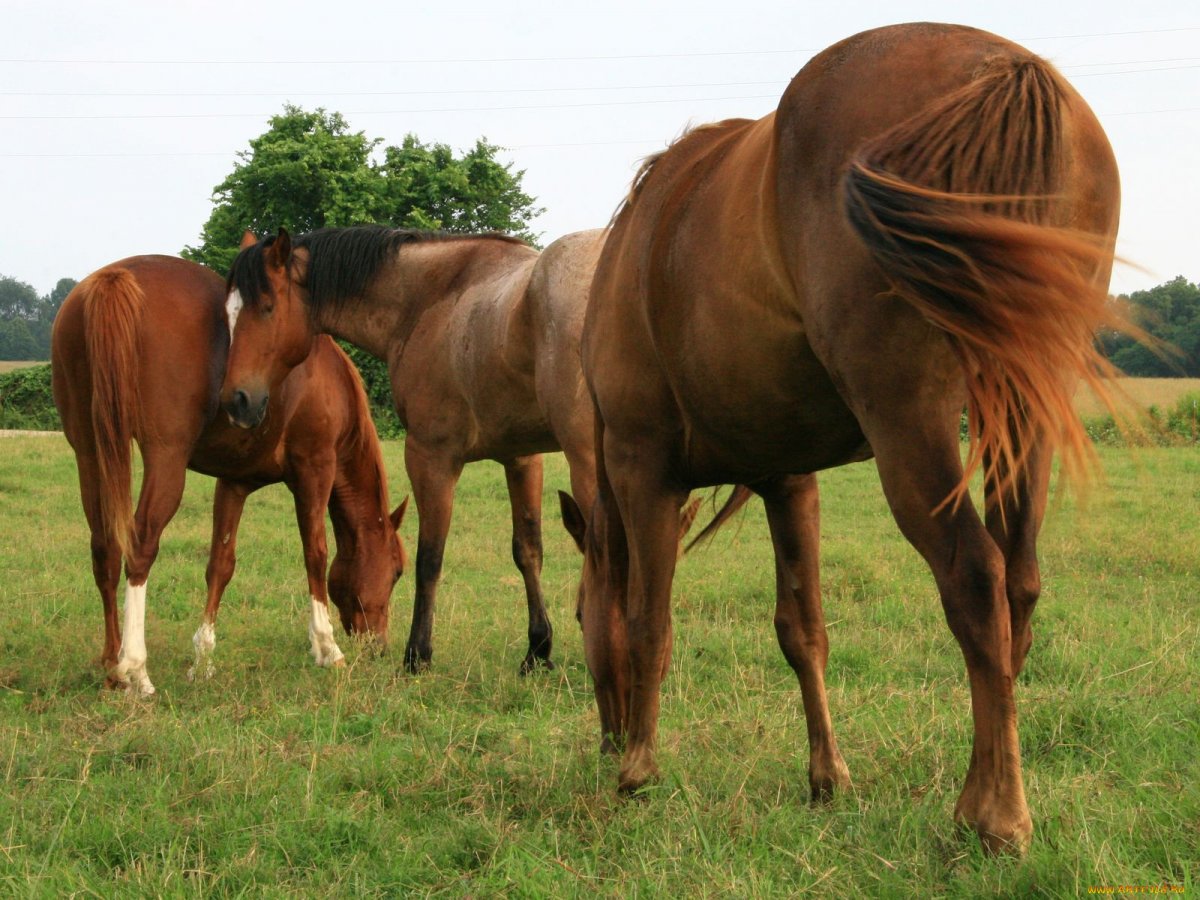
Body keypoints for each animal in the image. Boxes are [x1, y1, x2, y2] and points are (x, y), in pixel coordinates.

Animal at [52, 255, 408, 696]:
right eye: (397, 571)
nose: (379, 645)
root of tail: (116, 278)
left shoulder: (234, 483)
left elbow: (220, 564)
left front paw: (203, 660)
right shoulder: (315, 468)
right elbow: (316, 553)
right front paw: (327, 649)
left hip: (89, 451)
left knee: (104, 548)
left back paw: (111, 664)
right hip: (166, 460)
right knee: (140, 545)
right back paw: (135, 669)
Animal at [216, 229, 604, 672]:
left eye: (266, 308)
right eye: (228, 314)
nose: (237, 400)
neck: (429, 299)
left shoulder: (429, 457)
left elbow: (429, 559)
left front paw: (417, 654)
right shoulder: (521, 459)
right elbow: (528, 550)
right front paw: (537, 650)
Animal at [561, 19, 1123, 854]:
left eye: (574, 615)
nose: (605, 742)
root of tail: (1005, 70)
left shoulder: (642, 466)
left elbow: (646, 619)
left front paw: (639, 770)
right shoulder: (788, 480)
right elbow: (803, 631)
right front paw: (828, 778)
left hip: (912, 424)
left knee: (975, 576)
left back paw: (993, 815)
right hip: (1024, 411)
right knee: (1017, 584)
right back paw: (986, 780)